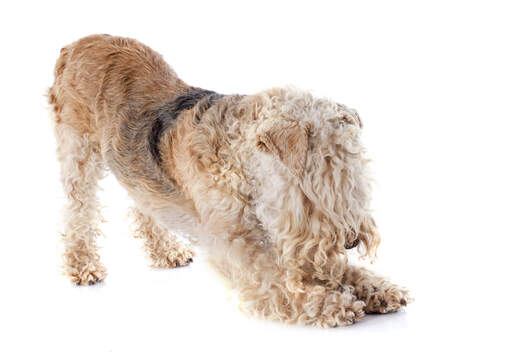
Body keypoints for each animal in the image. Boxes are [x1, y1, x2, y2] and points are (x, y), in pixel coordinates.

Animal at [48, 34, 412, 326]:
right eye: (317, 179)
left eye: (354, 171)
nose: (350, 242)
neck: (241, 164)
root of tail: (75, 44)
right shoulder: (243, 251)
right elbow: (280, 285)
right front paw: (334, 304)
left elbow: (340, 270)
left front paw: (380, 288)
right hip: (78, 154)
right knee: (78, 214)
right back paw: (84, 268)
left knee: (143, 204)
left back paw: (168, 252)